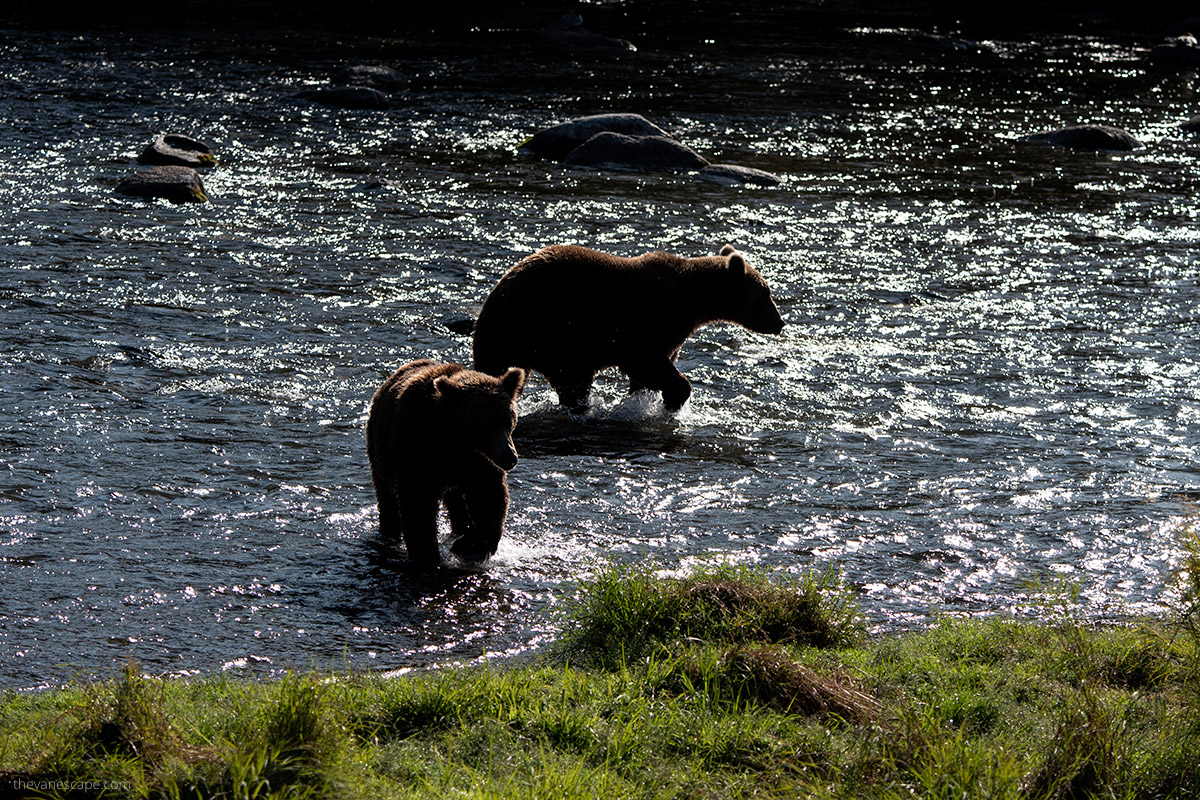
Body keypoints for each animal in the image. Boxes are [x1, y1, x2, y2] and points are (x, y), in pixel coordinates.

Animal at [364, 359, 525, 566]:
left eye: (509, 421)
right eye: (485, 426)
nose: (510, 458)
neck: (454, 442)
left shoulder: (480, 463)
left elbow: (490, 497)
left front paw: (470, 545)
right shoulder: (419, 451)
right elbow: (418, 503)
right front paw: (427, 554)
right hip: (380, 452)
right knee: (387, 498)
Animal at [468, 244, 787, 412]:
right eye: (765, 294)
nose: (779, 322)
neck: (693, 301)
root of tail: (493, 298)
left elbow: (649, 373)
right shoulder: (649, 323)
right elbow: (649, 364)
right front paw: (673, 399)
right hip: (554, 329)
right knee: (571, 378)